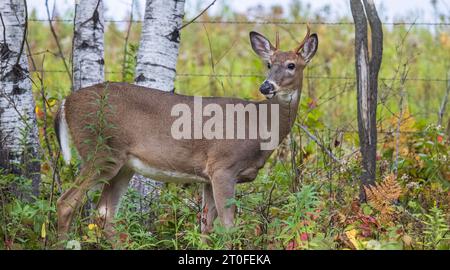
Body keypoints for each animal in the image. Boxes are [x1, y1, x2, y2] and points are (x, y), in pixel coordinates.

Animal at [54, 26, 318, 243]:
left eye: (292, 65)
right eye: (269, 64)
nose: (266, 87)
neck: (258, 124)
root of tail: (66, 102)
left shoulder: (208, 177)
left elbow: (205, 227)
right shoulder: (223, 167)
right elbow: (228, 227)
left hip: (123, 165)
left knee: (104, 214)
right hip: (101, 151)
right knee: (66, 202)